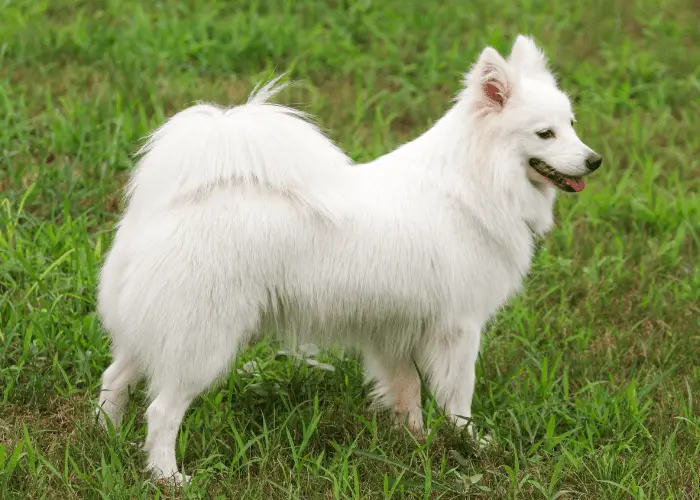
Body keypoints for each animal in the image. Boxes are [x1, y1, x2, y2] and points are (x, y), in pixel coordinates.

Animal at [95, 34, 600, 480]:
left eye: (573, 124)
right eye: (545, 134)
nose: (594, 160)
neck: (476, 181)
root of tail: (168, 206)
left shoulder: (394, 329)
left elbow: (407, 391)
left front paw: (414, 443)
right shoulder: (459, 329)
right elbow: (458, 400)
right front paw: (471, 445)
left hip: (157, 330)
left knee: (114, 377)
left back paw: (107, 439)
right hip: (203, 342)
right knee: (161, 411)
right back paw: (167, 476)